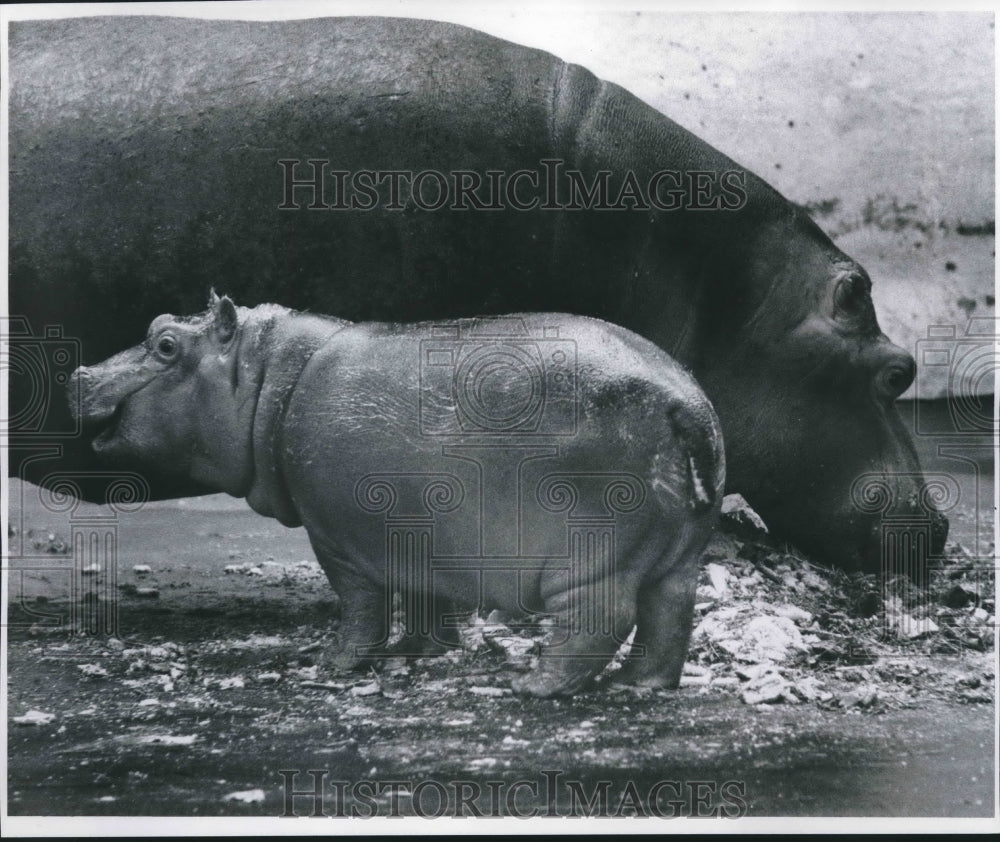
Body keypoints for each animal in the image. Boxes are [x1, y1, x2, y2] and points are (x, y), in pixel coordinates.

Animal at [68, 294, 725, 697]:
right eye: (158, 325)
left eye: (166, 344)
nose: (78, 373)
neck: (264, 378)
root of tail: (686, 401)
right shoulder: (419, 539)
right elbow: (426, 600)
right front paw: (423, 653)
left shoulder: (337, 538)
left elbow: (361, 607)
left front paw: (330, 663)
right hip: (677, 553)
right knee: (669, 616)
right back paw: (636, 686)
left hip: (590, 556)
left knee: (602, 619)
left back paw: (533, 687)